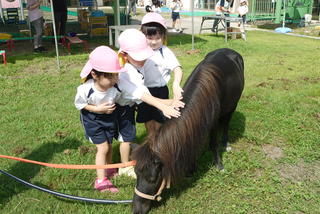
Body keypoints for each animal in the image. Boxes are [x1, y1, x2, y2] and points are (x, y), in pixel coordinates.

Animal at [131, 48, 244, 214]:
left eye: (153, 179)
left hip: (233, 105)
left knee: (226, 123)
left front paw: (219, 165)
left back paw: (226, 143)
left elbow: (214, 144)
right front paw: (191, 169)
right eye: (136, 173)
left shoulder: (213, 122)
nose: (136, 209)